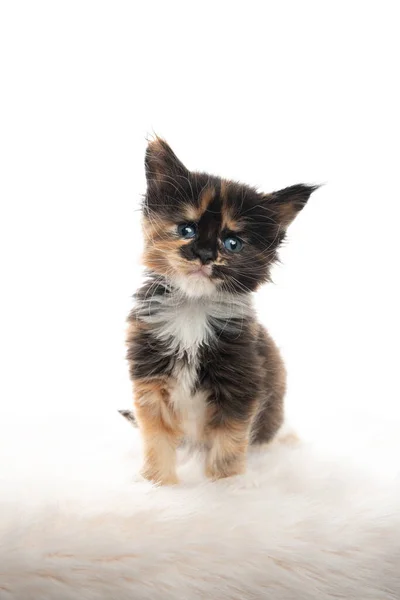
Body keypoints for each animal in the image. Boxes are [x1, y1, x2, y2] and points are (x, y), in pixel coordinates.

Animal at [126, 138, 318, 486]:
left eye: (232, 243)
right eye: (186, 229)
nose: (203, 254)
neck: (193, 307)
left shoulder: (241, 382)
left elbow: (228, 444)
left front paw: (226, 485)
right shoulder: (150, 379)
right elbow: (156, 439)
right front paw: (158, 484)